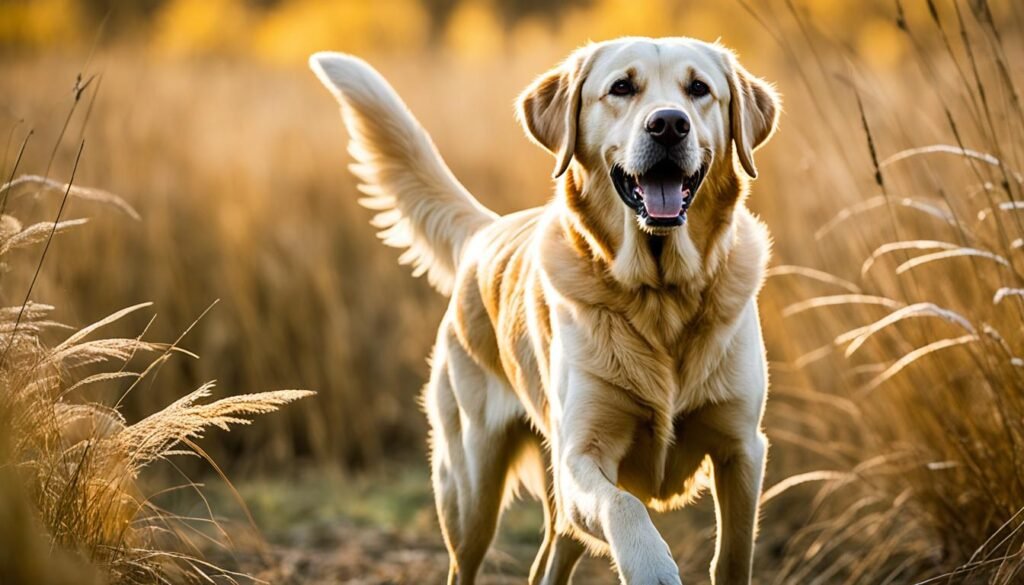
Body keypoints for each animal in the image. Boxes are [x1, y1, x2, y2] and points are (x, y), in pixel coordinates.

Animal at [309, 37, 774, 585]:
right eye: (622, 87)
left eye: (698, 88)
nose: (667, 124)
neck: (660, 293)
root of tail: (486, 231)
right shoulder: (581, 457)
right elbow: (624, 505)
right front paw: (651, 565)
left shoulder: (742, 451)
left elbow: (735, 556)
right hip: (470, 489)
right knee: (466, 558)